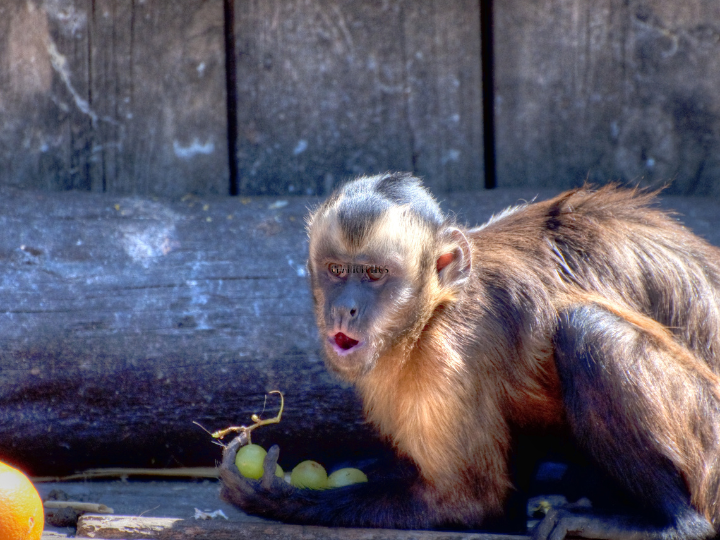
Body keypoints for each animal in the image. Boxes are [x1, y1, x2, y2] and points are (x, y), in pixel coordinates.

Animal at [218, 174, 720, 540]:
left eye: (375, 274)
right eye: (337, 270)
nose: (346, 308)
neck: (433, 308)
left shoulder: (444, 357)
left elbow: (467, 502)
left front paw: (277, 495)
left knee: (585, 328)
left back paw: (675, 523)